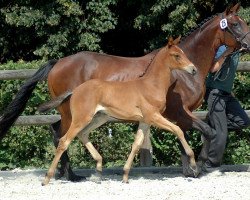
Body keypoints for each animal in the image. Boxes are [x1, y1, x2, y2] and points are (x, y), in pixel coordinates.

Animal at [41, 36, 197, 185]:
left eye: (183, 53)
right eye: (176, 55)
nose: (194, 69)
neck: (151, 85)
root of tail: (75, 91)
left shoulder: (145, 121)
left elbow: (136, 145)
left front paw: (125, 175)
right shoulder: (154, 116)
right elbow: (178, 130)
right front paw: (194, 166)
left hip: (98, 118)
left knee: (82, 134)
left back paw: (98, 169)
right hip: (81, 118)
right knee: (64, 141)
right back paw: (47, 178)